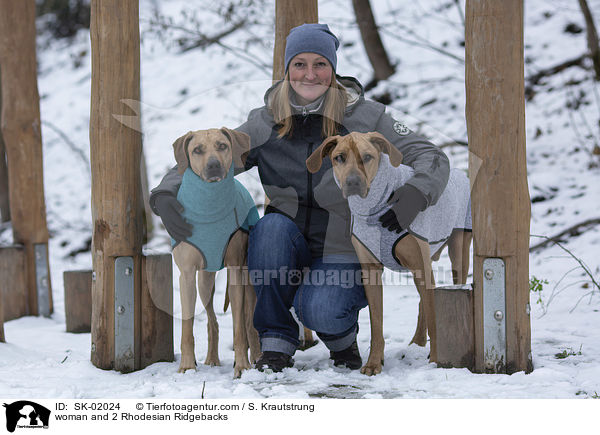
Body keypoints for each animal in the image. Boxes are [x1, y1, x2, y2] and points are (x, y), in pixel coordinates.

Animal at [171, 127, 260, 378]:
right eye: (197, 150)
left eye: (222, 145)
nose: (213, 165)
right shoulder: (187, 274)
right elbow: (187, 327)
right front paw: (187, 365)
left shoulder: (236, 269)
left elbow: (239, 327)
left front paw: (242, 366)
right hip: (205, 280)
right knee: (213, 322)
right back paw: (212, 358)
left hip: (249, 276)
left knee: (249, 322)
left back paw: (255, 357)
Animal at [308, 131, 472, 376]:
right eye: (339, 157)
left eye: (367, 156)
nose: (353, 183)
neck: (375, 208)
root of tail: (461, 171)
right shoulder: (371, 270)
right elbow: (376, 323)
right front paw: (374, 362)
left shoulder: (421, 265)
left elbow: (435, 318)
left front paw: (436, 360)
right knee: (423, 301)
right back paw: (417, 342)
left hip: (458, 252)